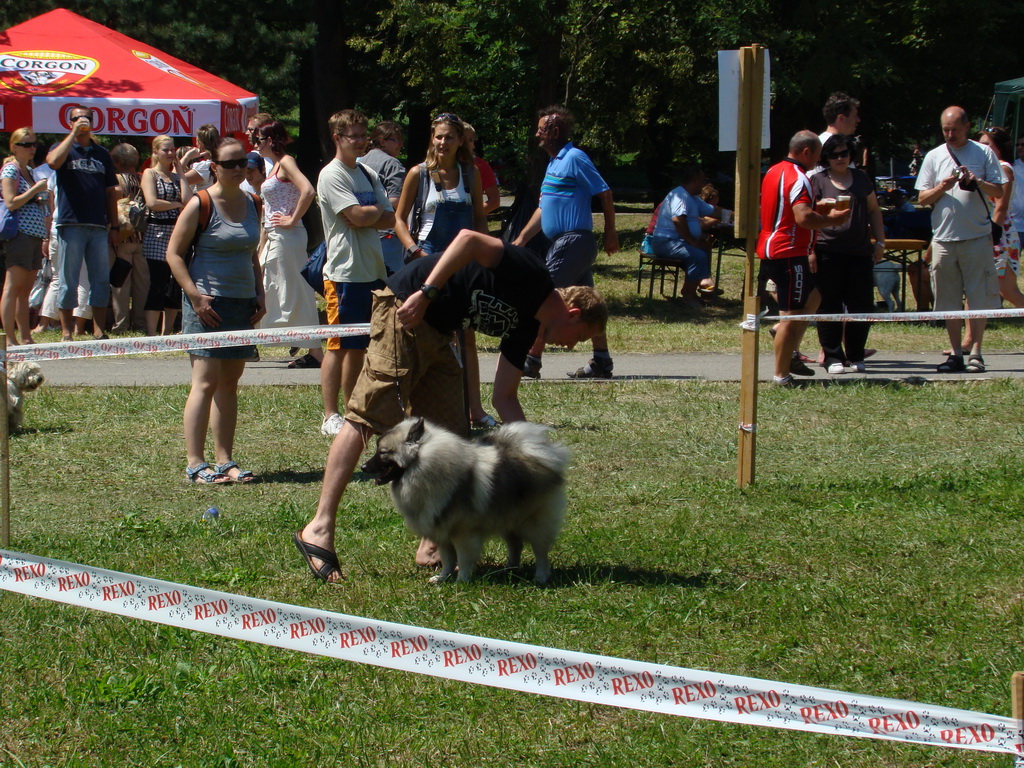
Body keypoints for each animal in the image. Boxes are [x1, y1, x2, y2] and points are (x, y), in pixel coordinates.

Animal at [360, 417, 569, 585]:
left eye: (383, 452)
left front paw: (462, 581)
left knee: (540, 551)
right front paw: (442, 578)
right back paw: (509, 569)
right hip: (508, 518)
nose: (363, 467)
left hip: (535, 521)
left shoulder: (463, 534)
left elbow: (463, 559)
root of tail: (535, 452)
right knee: (515, 545)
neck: (425, 469)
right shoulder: (442, 533)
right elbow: (447, 560)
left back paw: (541, 577)